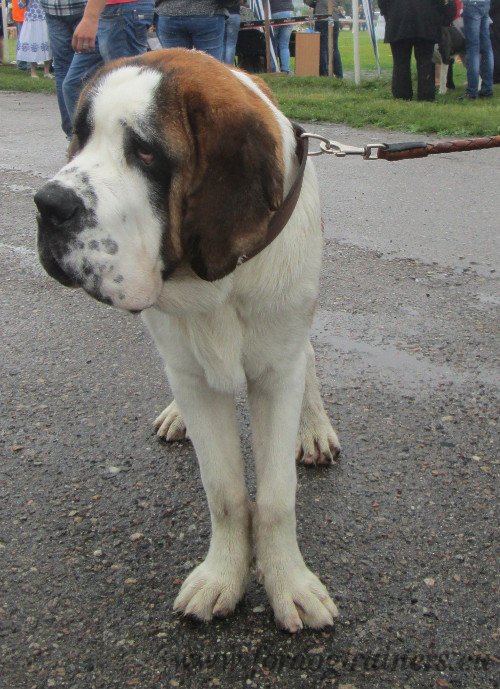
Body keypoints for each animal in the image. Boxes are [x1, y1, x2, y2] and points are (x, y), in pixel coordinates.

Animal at [34, 47, 340, 628]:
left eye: (146, 153)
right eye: (79, 137)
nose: (48, 204)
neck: (215, 281)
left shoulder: (276, 369)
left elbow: (275, 498)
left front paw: (289, 583)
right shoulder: (193, 375)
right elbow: (223, 491)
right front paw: (223, 576)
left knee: (309, 358)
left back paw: (312, 428)